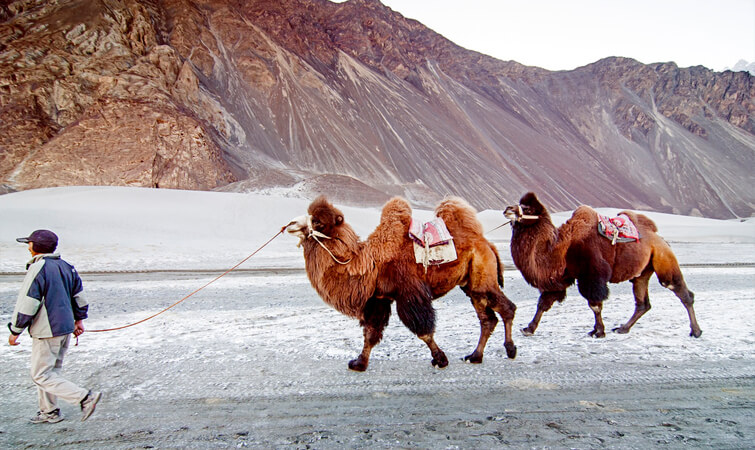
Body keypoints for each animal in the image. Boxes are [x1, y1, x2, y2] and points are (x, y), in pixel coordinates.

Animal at [286, 195, 516, 370]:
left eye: (318, 222)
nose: (290, 224)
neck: (371, 262)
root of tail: (487, 243)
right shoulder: (379, 298)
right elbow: (370, 333)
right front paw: (359, 363)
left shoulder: (409, 292)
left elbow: (423, 330)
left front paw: (440, 359)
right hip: (469, 284)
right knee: (487, 319)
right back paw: (475, 356)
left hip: (482, 278)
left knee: (506, 308)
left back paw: (510, 349)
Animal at [504, 192, 704, 340]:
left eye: (527, 207)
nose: (507, 209)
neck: (561, 247)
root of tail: (659, 238)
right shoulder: (562, 277)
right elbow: (543, 303)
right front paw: (528, 329)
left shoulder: (591, 274)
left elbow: (595, 304)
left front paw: (599, 332)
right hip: (642, 272)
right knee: (642, 303)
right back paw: (623, 328)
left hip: (664, 259)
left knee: (679, 290)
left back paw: (696, 331)